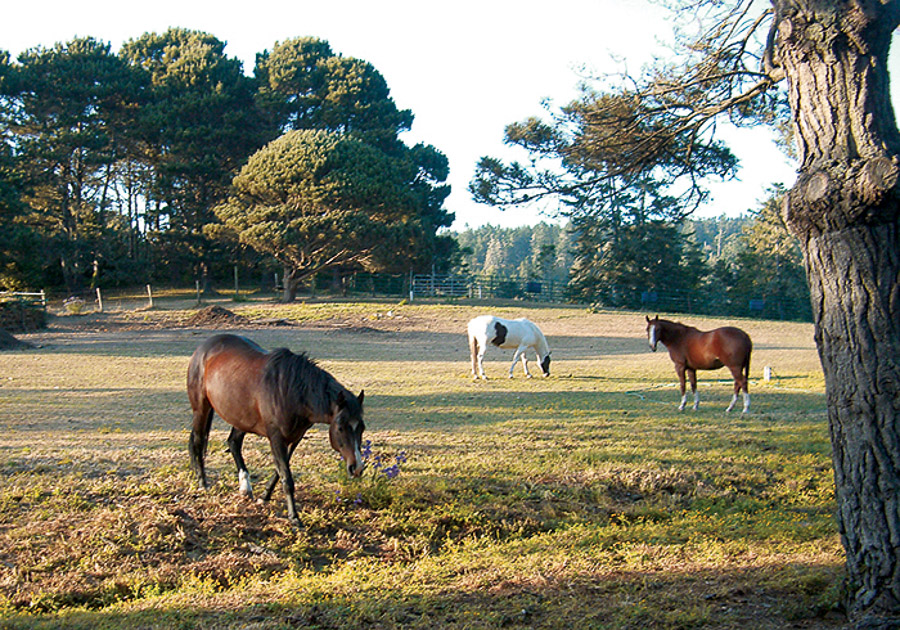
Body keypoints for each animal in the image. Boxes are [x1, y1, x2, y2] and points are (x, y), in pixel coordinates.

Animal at [187, 333, 365, 525]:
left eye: (362, 428)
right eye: (340, 427)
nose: (357, 467)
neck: (292, 392)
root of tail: (204, 347)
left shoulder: (295, 437)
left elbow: (280, 470)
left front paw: (264, 496)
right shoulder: (276, 438)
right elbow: (286, 477)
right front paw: (294, 518)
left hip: (242, 418)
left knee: (233, 443)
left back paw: (245, 487)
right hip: (201, 409)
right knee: (198, 442)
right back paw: (203, 484)